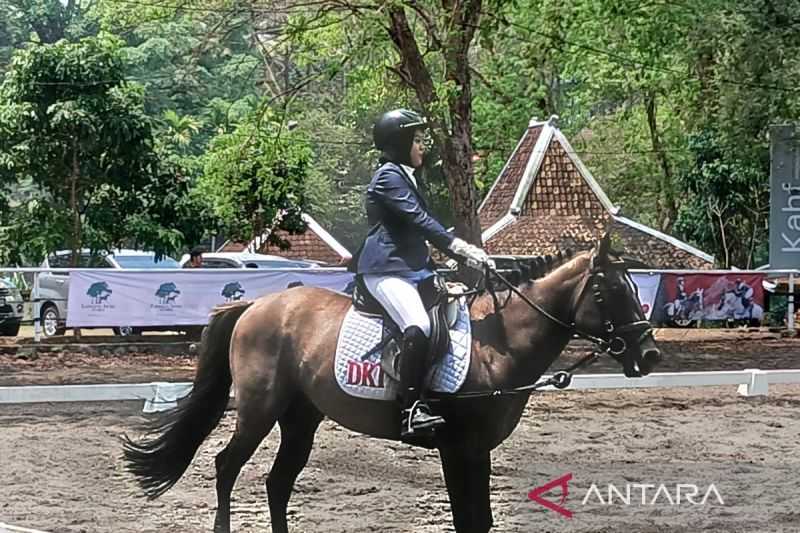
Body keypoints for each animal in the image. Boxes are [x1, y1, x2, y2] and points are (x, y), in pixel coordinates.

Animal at [123, 236, 664, 532]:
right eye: (609, 291)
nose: (649, 355)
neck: (500, 344)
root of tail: (256, 305)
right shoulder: (459, 447)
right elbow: (467, 519)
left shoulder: (477, 449)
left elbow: (481, 520)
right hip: (259, 411)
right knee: (227, 466)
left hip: (301, 418)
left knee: (278, 482)